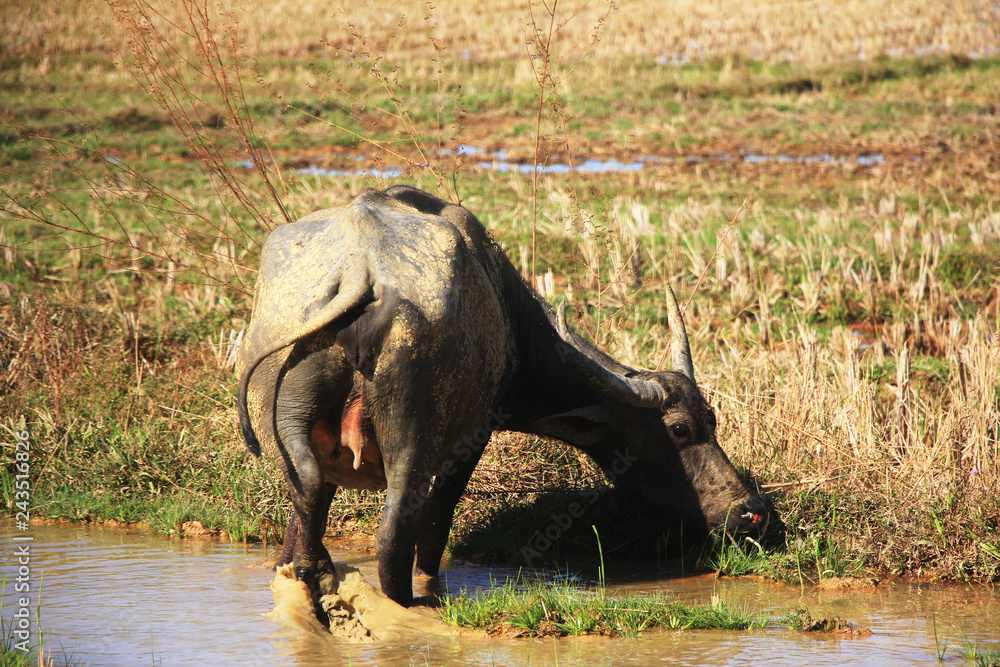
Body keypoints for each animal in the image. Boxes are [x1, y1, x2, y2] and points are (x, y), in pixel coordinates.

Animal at [236, 185, 768, 606]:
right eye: (678, 429)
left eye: (714, 419)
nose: (748, 512)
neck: (509, 313)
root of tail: (359, 273)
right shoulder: (473, 436)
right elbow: (437, 526)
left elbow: (302, 520)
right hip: (413, 437)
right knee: (397, 532)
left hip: (290, 420)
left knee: (305, 490)